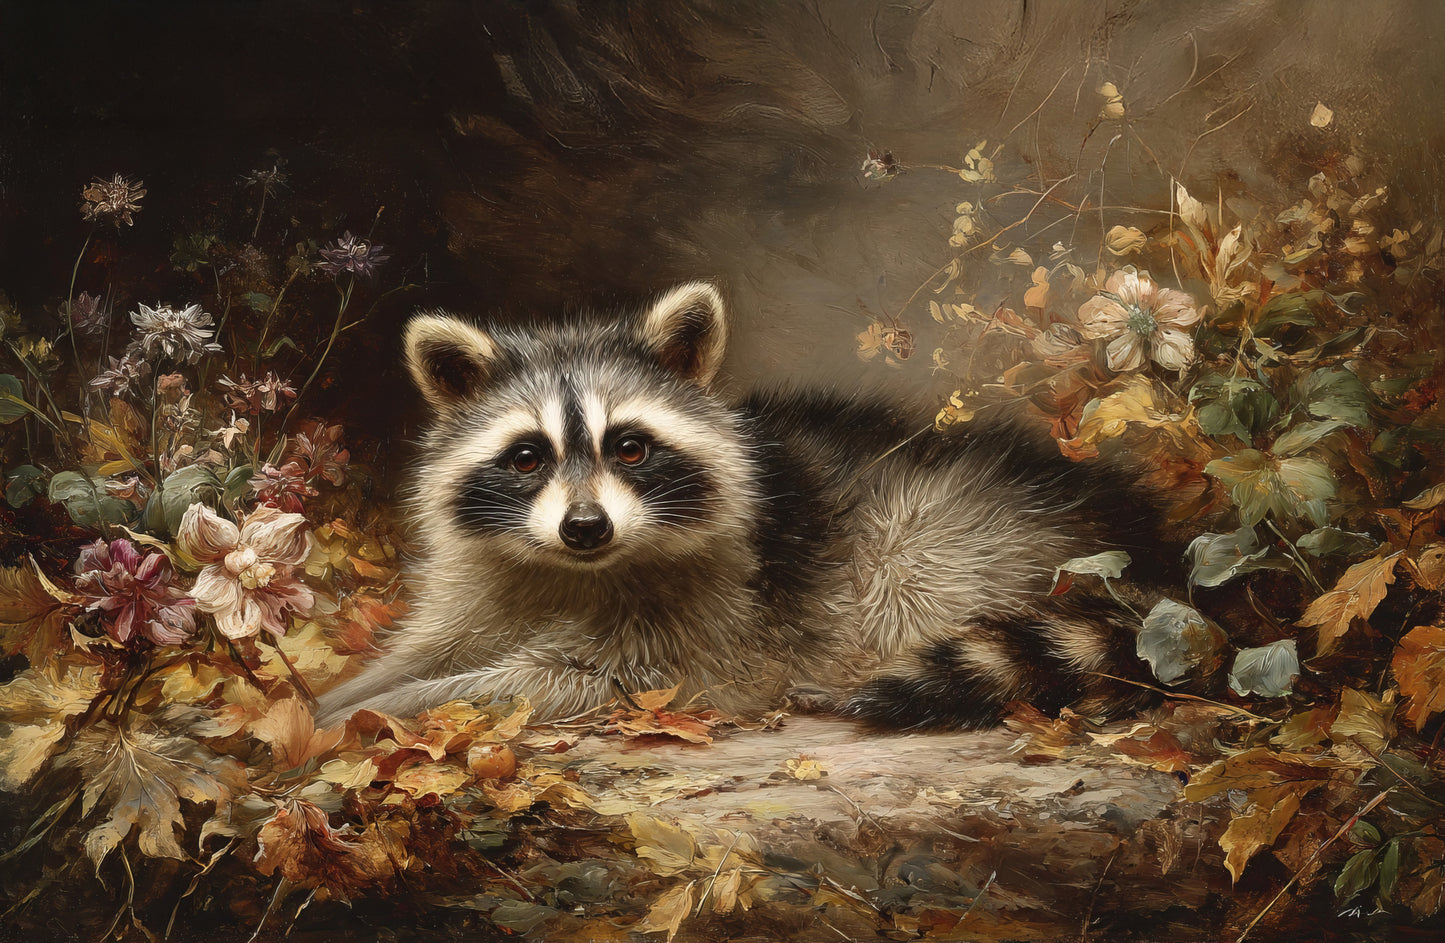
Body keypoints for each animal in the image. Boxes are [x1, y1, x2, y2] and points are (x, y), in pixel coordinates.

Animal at [314, 282, 1166, 729]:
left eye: (630, 447)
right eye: (527, 457)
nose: (585, 526)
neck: (567, 568)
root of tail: (1138, 532)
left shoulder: (704, 627)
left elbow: (550, 678)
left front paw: (384, 708)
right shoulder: (481, 580)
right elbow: (427, 647)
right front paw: (334, 696)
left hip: (946, 529)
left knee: (907, 577)